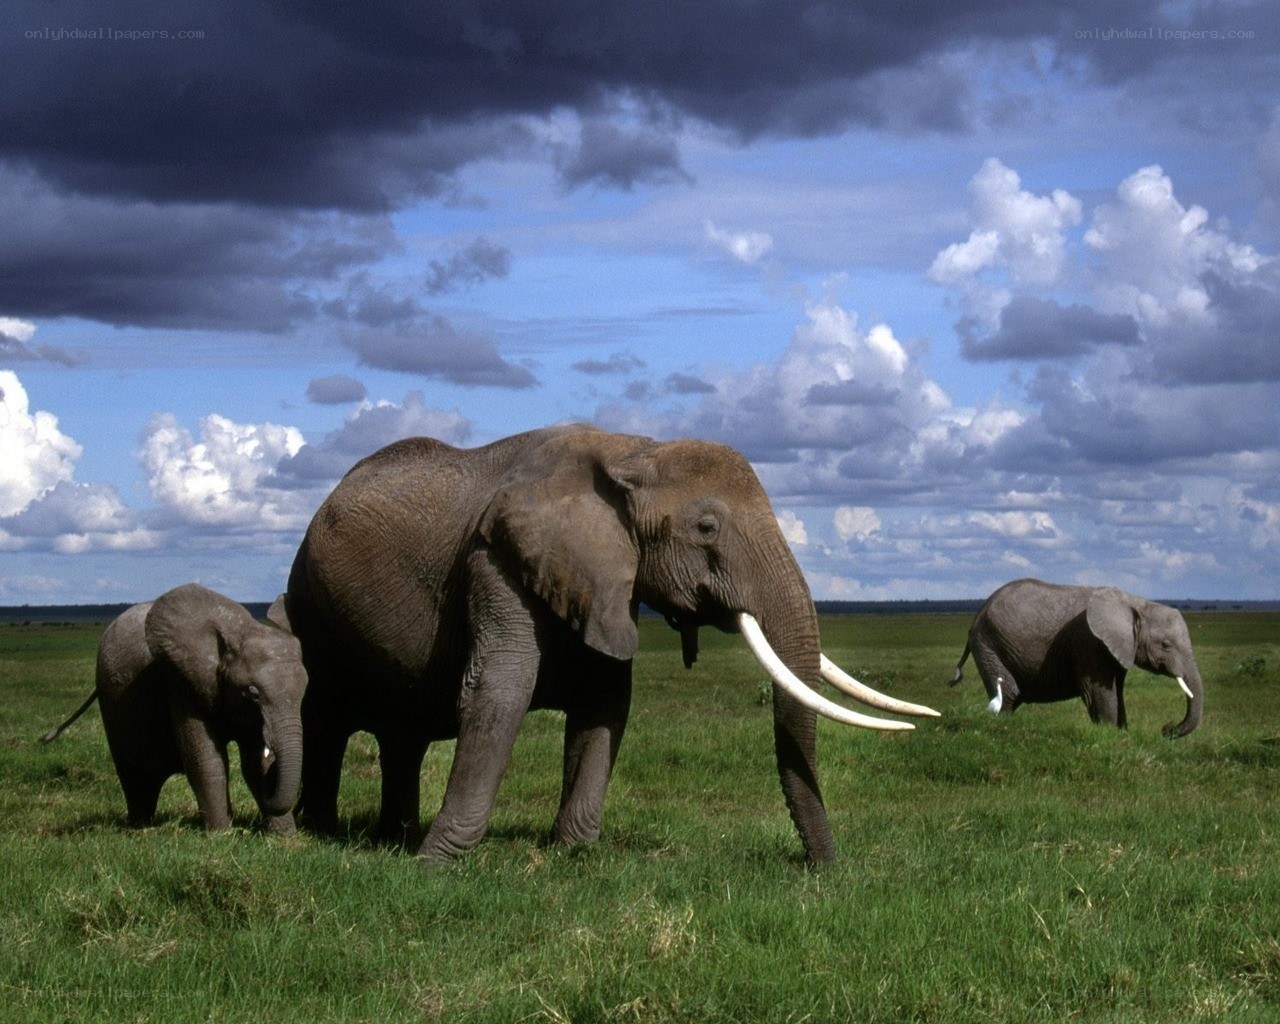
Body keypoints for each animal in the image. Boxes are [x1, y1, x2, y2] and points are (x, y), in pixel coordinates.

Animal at [41, 583, 309, 832]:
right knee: (135, 776)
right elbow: (206, 759)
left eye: (305, 689)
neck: (240, 631)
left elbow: (255, 763)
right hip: (112, 699)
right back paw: (139, 825)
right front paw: (221, 834)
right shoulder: (181, 680)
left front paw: (284, 837)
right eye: (253, 693)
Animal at [284, 424, 938, 865]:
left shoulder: (599, 578)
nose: (824, 869)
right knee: (326, 717)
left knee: (402, 735)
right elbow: (498, 691)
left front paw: (572, 853)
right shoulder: (497, 559)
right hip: (308, 603)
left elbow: (605, 703)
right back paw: (321, 832)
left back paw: (391, 836)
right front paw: (438, 863)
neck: (632, 451)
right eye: (705, 528)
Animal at [950, 578, 1203, 737]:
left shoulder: (1118, 648)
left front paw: (1122, 733)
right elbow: (1099, 692)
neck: (1135, 601)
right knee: (1010, 692)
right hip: (987, 643)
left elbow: (1117, 691)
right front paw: (1109, 735)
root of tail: (977, 615)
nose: (1166, 728)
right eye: (1166, 645)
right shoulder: (1089, 642)